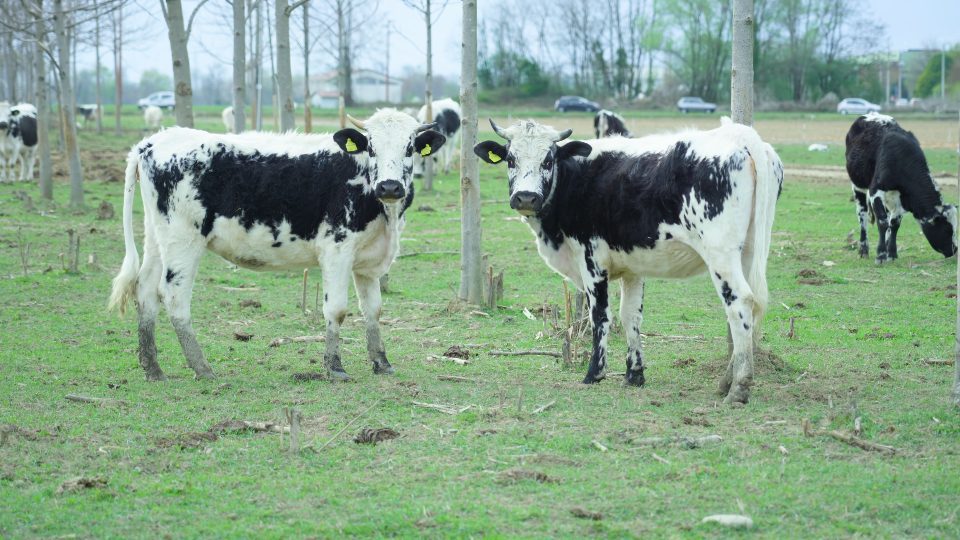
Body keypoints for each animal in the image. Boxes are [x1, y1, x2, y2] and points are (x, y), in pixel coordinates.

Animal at [110, 108, 448, 380]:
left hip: (157, 236)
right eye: (372, 148)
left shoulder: (367, 261)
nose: (390, 186)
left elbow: (374, 311)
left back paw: (153, 368)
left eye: (409, 148)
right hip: (183, 239)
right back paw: (202, 367)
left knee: (145, 289)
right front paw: (335, 367)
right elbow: (337, 309)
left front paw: (381, 362)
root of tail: (152, 142)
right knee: (174, 296)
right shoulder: (337, 250)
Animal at [476, 119, 784, 404]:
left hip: (720, 252)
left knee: (740, 303)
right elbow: (630, 316)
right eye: (511, 159)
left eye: (548, 160)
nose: (526, 198)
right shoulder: (632, 267)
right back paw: (726, 381)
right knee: (750, 307)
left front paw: (594, 373)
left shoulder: (592, 260)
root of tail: (739, 135)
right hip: (749, 251)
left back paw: (738, 387)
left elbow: (600, 316)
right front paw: (634, 374)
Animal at [848, 112, 952, 262]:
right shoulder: (875, 191)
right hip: (858, 187)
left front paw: (891, 254)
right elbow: (882, 222)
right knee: (862, 216)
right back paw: (863, 249)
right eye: (947, 230)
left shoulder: (901, 197)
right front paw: (881, 255)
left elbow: (894, 224)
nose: (954, 250)